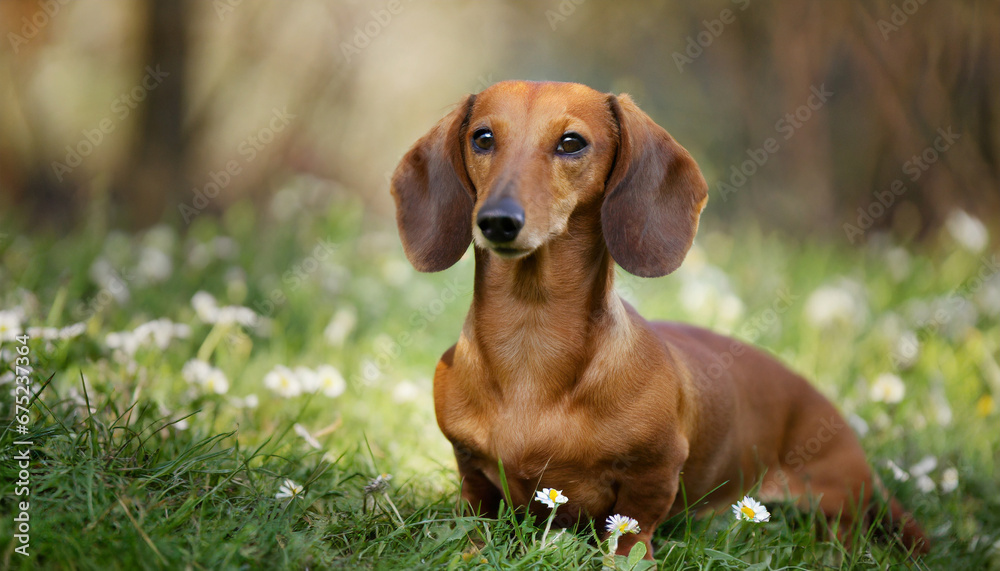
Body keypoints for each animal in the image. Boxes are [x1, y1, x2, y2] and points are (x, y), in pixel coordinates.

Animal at [388, 80, 928, 560]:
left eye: (571, 142)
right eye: (482, 137)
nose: (497, 220)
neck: (530, 340)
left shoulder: (658, 466)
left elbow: (633, 525)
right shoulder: (470, 466)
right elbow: (476, 520)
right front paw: (471, 553)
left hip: (831, 496)